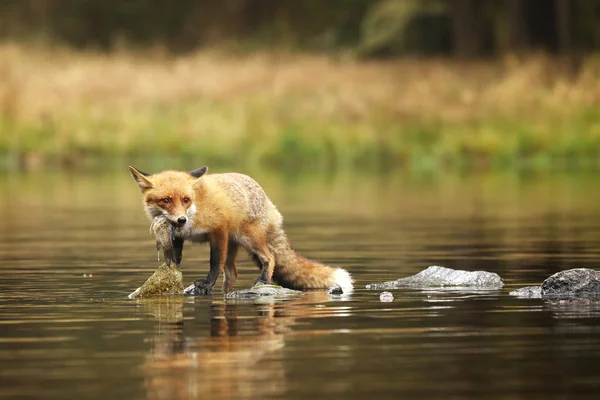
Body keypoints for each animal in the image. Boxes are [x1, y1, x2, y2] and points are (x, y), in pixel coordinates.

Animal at [127, 166, 352, 294]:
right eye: (166, 200)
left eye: (185, 200)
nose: (181, 219)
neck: (196, 209)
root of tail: (268, 201)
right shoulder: (179, 236)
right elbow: (175, 258)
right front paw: (171, 275)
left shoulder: (218, 231)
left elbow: (214, 264)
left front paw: (206, 285)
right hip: (235, 245)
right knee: (232, 274)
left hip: (248, 238)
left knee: (270, 258)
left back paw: (262, 281)